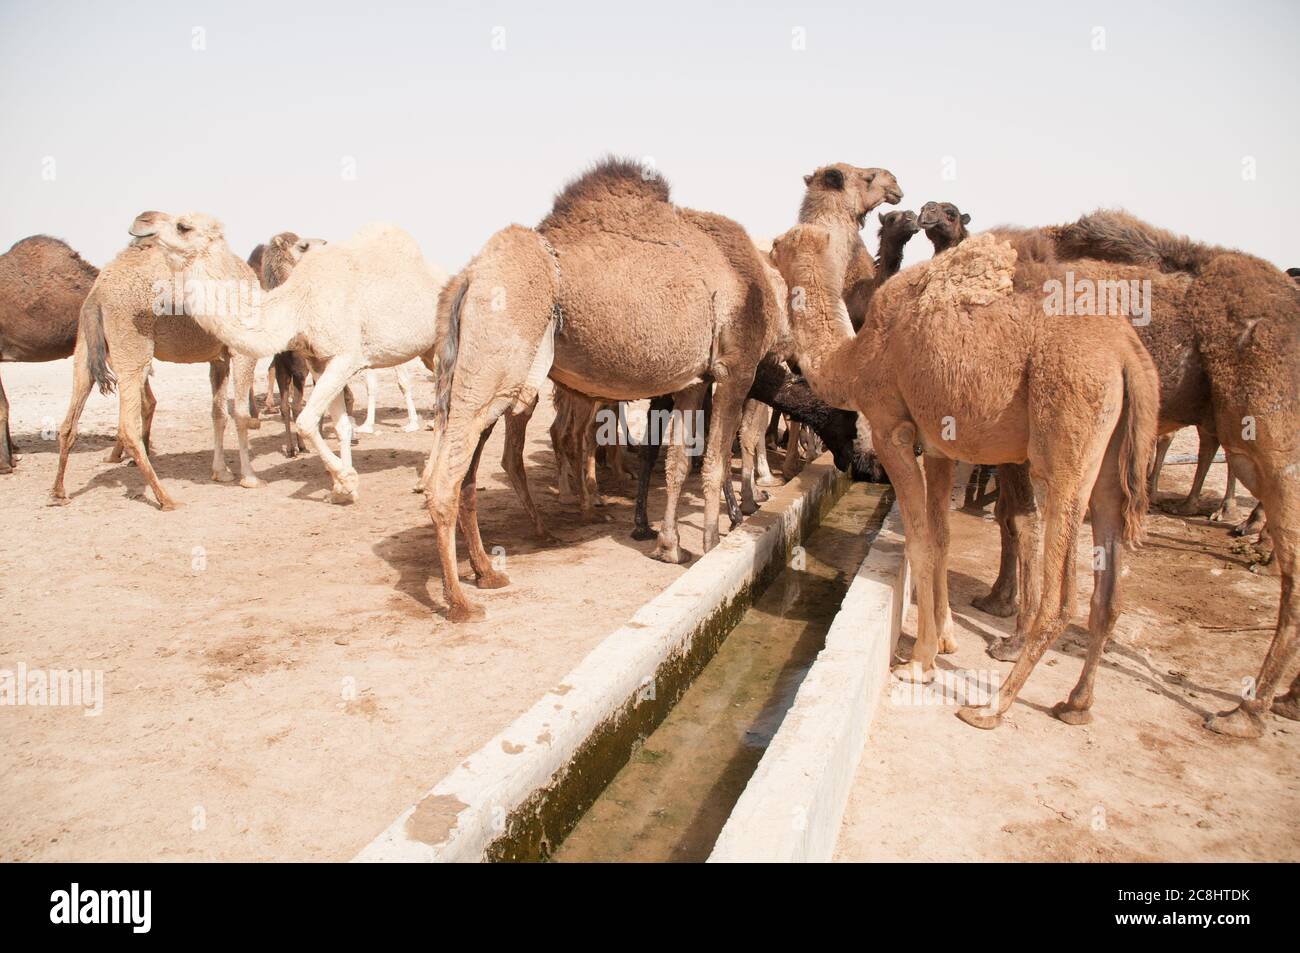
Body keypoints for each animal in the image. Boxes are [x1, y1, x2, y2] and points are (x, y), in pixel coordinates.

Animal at [48, 211, 261, 509]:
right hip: (131, 345)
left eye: (183, 226)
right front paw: (250, 478)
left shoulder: (218, 357)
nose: (142, 219)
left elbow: (218, 412)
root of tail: (96, 294)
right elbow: (240, 414)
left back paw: (58, 493)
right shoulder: (242, 351)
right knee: (128, 424)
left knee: (70, 419)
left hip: (85, 348)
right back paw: (165, 498)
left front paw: (221, 472)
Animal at [140, 213, 447, 501]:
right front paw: (341, 489)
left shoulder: (346, 357)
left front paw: (346, 479)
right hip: (426, 350)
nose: (142, 224)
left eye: (183, 226)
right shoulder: (320, 362)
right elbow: (340, 425)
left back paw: (426, 479)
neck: (298, 303)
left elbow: (307, 421)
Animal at [759, 223, 1159, 728]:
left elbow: (919, 540)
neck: (854, 356)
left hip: (1068, 430)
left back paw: (992, 705)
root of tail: (1127, 353)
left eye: (779, 246)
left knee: (1061, 593)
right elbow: (942, 536)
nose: (765, 252)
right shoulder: (938, 445)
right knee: (1106, 585)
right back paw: (1075, 704)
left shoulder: (891, 429)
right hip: (1110, 456)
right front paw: (945, 640)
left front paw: (919, 663)